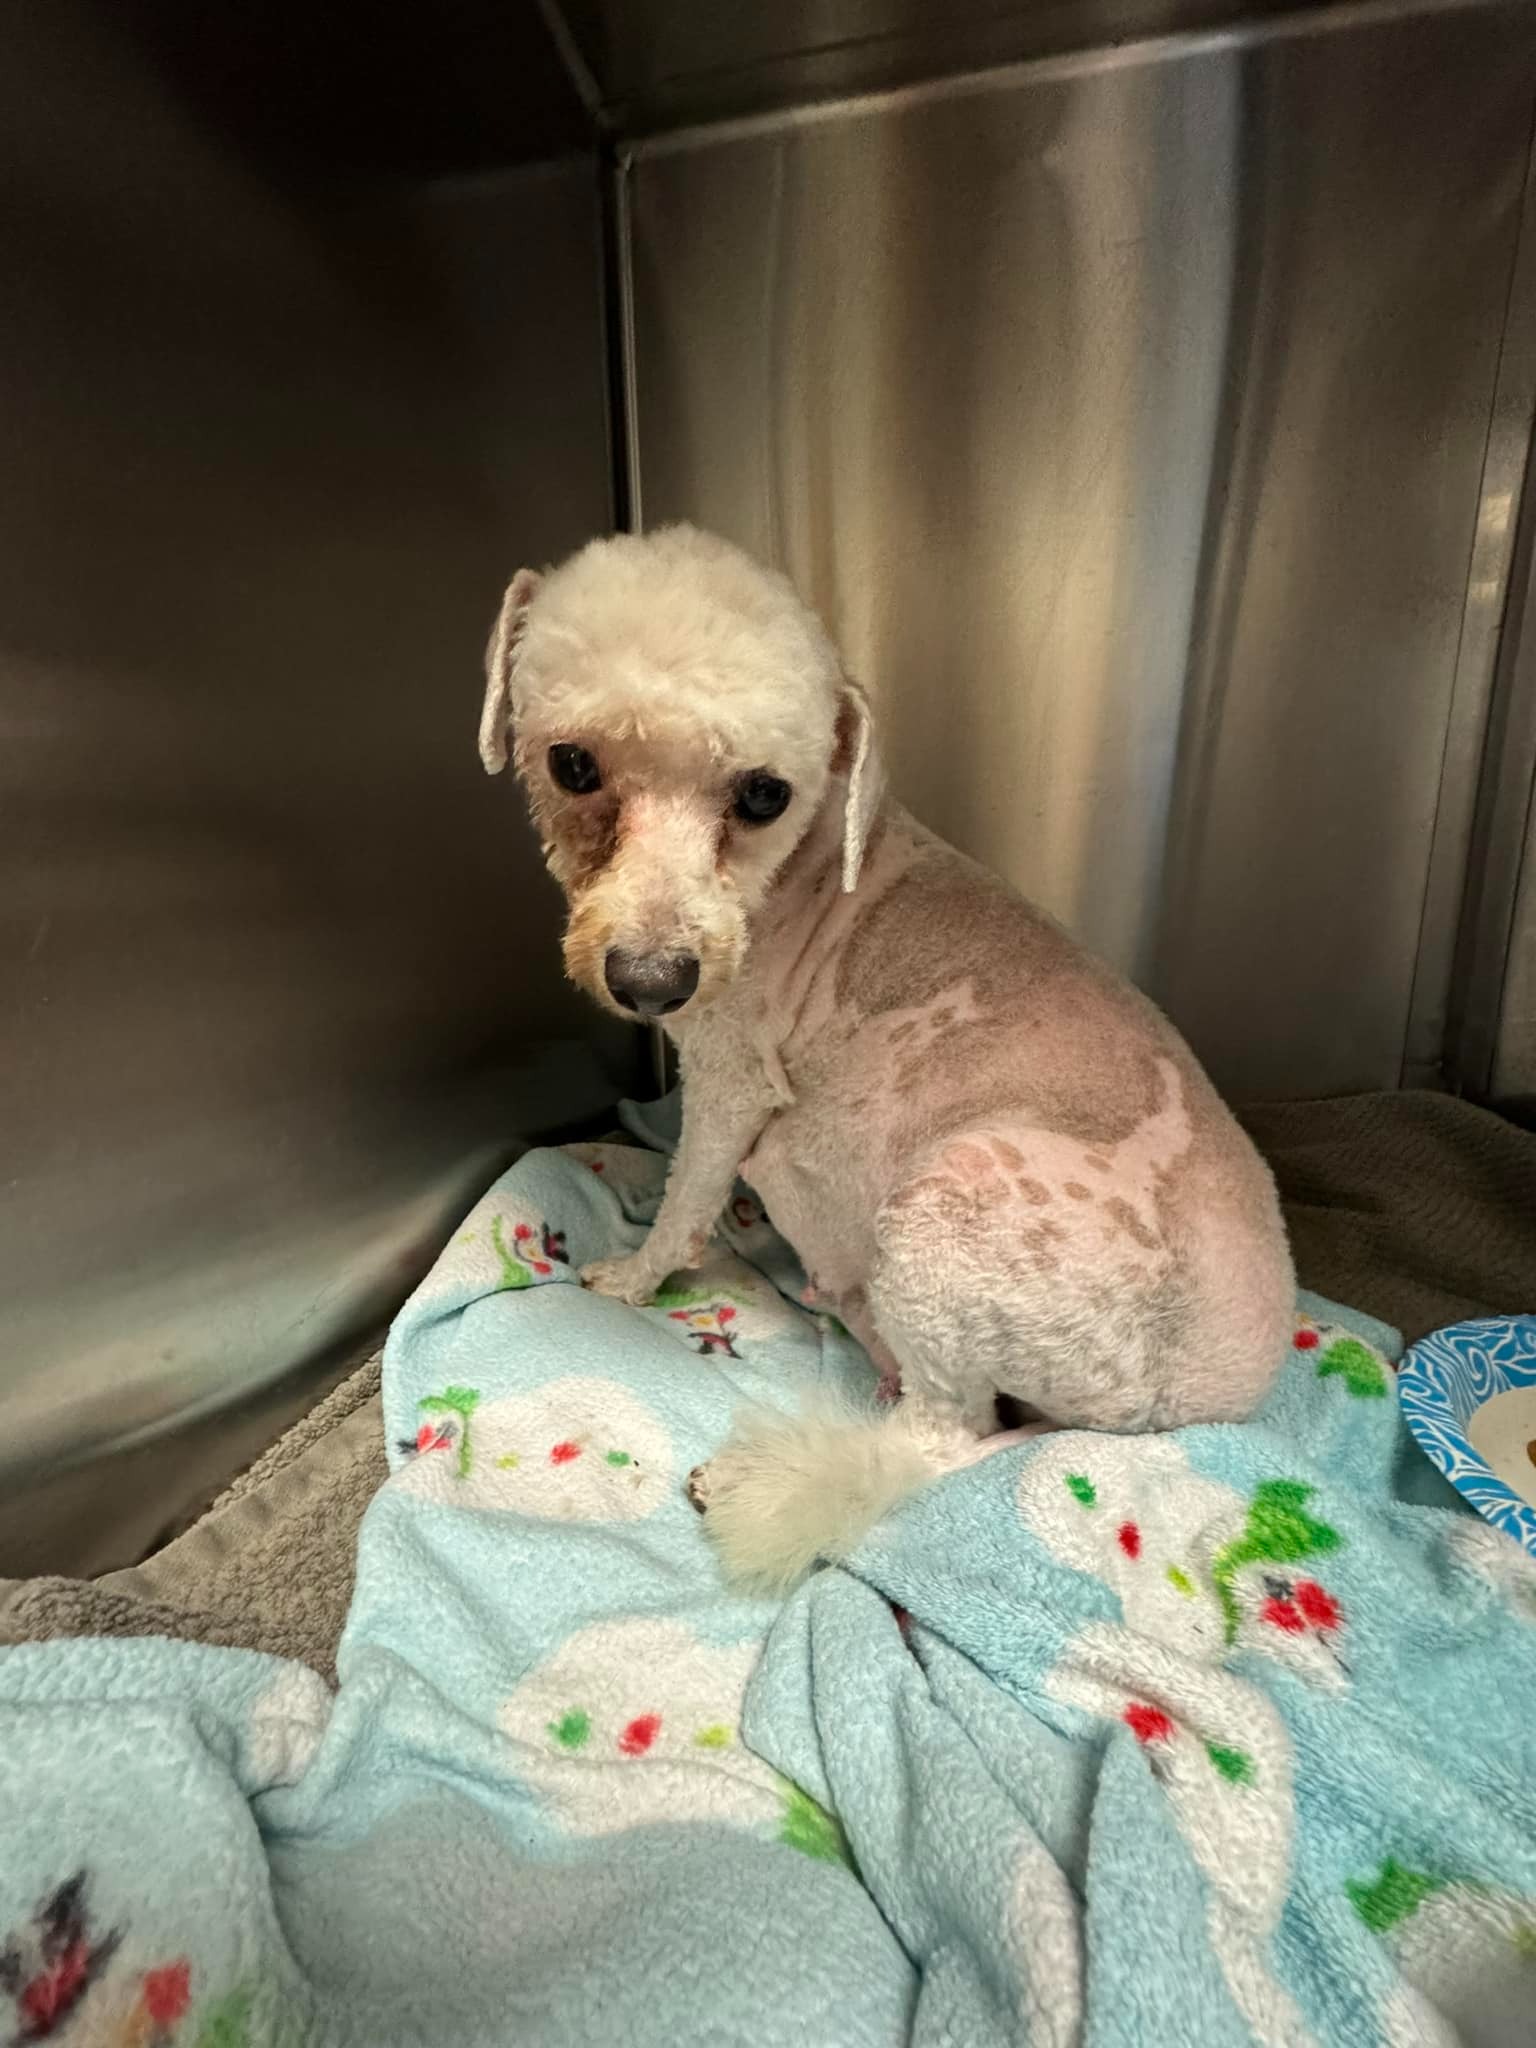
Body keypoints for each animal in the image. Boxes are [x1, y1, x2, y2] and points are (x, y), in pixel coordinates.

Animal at [483, 524, 1302, 1581]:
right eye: (573, 766)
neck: (802, 872)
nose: (652, 982)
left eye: (764, 794)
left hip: (947, 1211)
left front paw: (634, 1276)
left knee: (949, 1439)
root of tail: (1205, 1404)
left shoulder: (732, 1076)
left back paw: (762, 1474)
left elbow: (686, 1198)